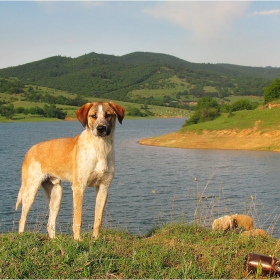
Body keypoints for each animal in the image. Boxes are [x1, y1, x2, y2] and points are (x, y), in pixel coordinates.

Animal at [15, 101, 124, 240]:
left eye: (108, 115)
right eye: (93, 116)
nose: (101, 128)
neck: (100, 148)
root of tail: (30, 150)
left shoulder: (103, 187)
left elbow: (98, 219)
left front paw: (95, 240)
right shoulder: (79, 187)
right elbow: (77, 219)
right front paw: (78, 240)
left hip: (56, 194)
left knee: (50, 224)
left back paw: (54, 241)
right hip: (31, 190)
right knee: (22, 219)